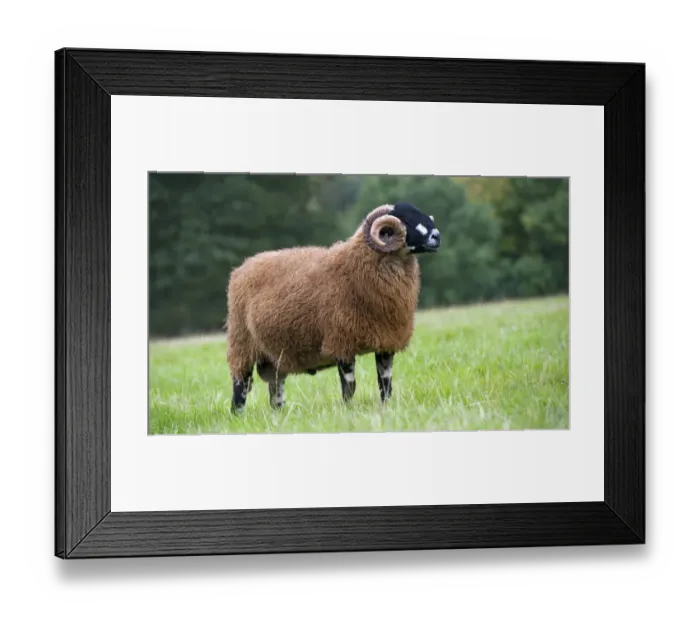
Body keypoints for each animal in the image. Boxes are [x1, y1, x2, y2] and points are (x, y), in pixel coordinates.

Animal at [225, 202, 441, 413]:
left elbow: (385, 384)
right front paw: (347, 411)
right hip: (241, 344)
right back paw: (238, 415)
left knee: (276, 391)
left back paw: (278, 415)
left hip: (275, 358)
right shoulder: (341, 342)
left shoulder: (386, 343)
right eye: (405, 220)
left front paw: (386, 408)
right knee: (240, 386)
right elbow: (349, 387)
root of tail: (241, 268)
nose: (437, 236)